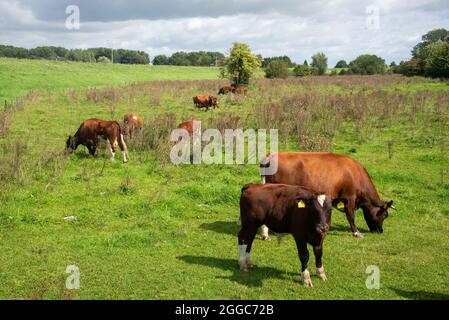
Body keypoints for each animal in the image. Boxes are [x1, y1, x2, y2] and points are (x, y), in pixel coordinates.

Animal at [260, 152, 396, 238]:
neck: (356, 174)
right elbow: (351, 216)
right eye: (385, 215)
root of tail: (270, 155)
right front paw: (356, 232)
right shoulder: (350, 197)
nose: (380, 231)